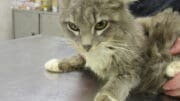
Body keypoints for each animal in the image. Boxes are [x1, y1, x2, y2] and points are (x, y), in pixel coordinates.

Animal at [44, 0, 180, 101]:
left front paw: (106, 96)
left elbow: (118, 82)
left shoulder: (135, 65)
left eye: (101, 24)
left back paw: (173, 67)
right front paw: (57, 63)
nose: (87, 46)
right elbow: (79, 57)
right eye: (73, 26)